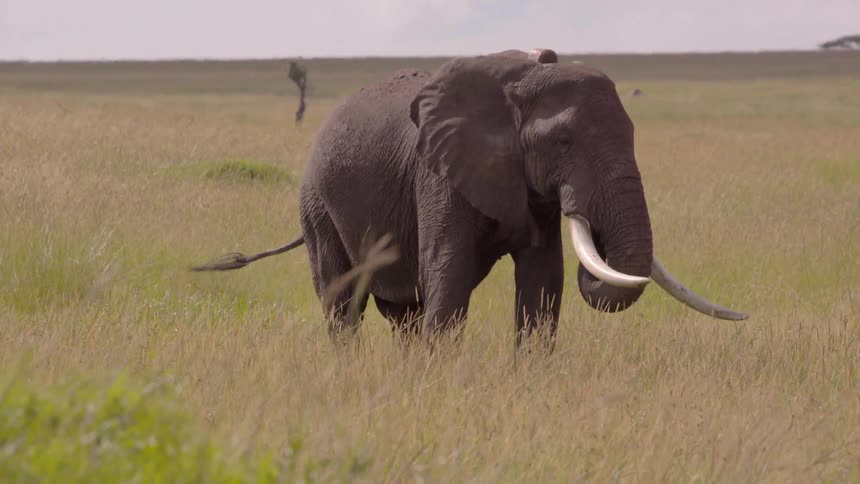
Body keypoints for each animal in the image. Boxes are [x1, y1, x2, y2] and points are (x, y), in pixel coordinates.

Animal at [193, 48, 747, 345]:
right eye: (564, 142)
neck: (525, 78)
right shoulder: (438, 171)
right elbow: (449, 268)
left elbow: (543, 279)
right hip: (317, 204)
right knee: (342, 303)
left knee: (403, 313)